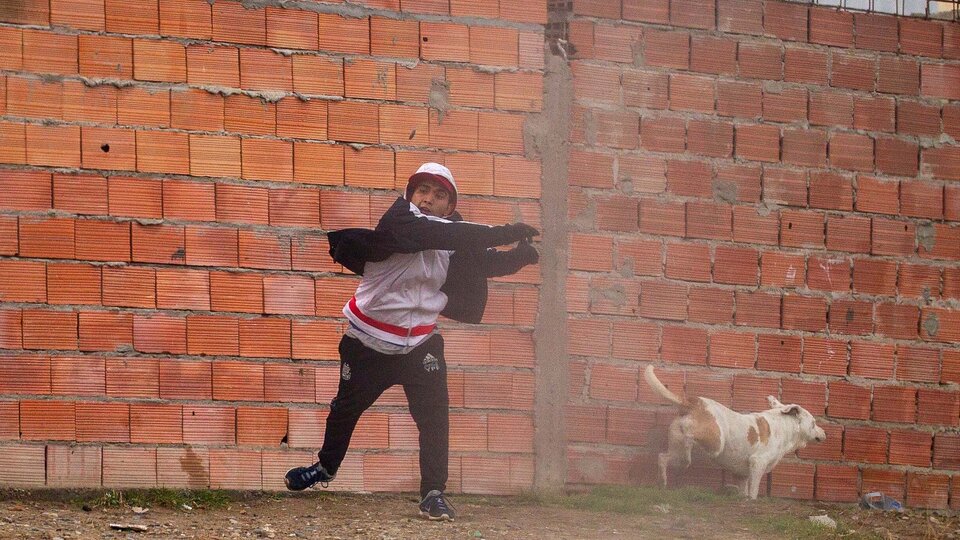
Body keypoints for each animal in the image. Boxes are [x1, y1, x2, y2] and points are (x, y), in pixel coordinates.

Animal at [644, 364, 824, 500]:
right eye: (814, 423)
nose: (824, 433)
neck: (784, 425)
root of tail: (691, 402)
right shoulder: (757, 464)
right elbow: (753, 491)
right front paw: (751, 501)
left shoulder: (742, 474)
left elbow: (743, 490)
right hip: (714, 443)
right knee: (682, 446)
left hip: (677, 448)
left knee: (663, 457)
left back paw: (662, 481)